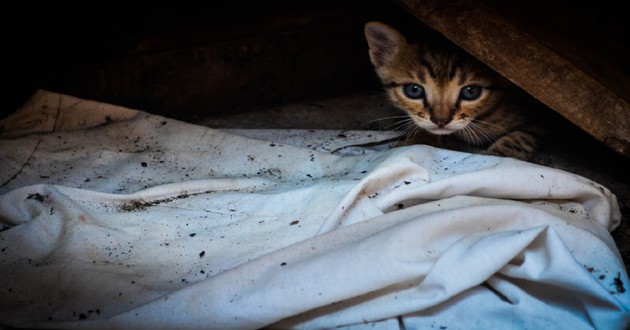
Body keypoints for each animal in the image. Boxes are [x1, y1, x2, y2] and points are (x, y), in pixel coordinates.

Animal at [366, 21, 548, 160]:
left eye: (471, 91)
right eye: (414, 90)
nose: (440, 120)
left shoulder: (537, 118)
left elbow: (520, 140)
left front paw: (497, 156)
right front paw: (420, 139)